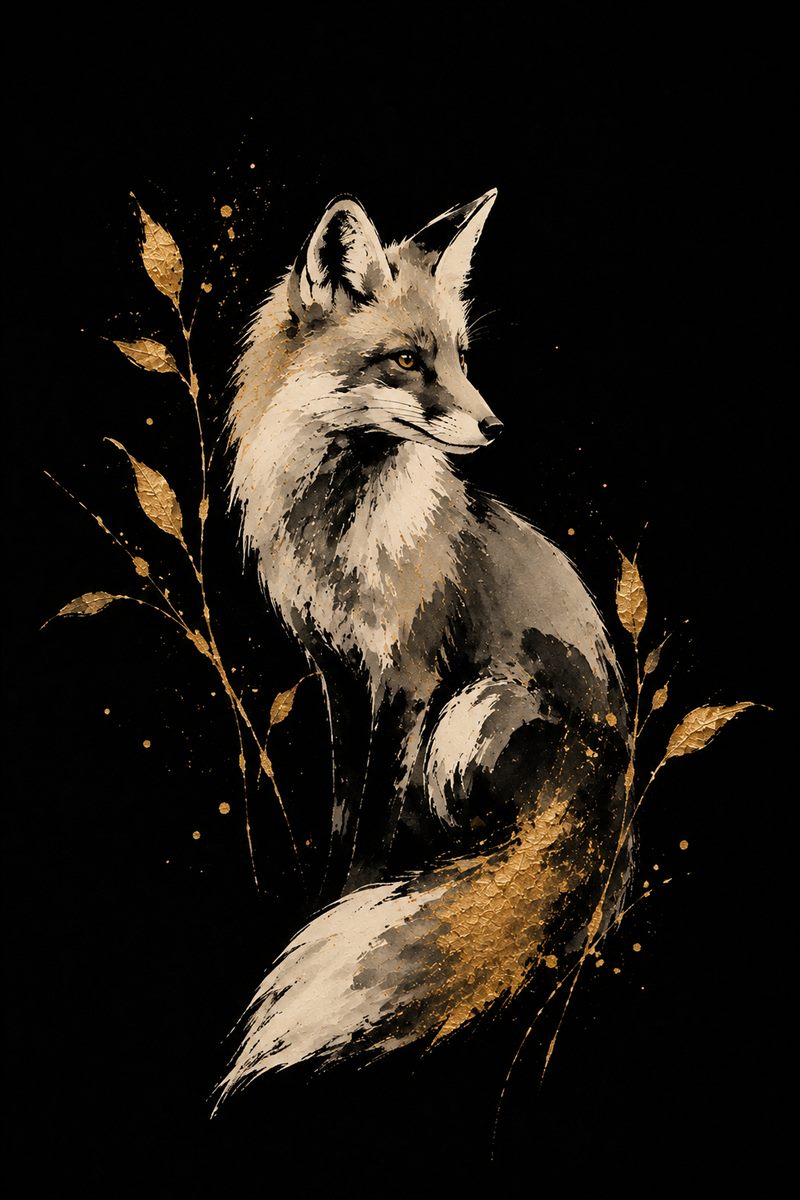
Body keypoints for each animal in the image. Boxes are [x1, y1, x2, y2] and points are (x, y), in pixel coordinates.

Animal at [216, 189, 629, 1105]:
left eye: (462, 356)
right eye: (407, 360)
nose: (495, 425)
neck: (343, 542)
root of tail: (611, 802)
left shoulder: (407, 678)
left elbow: (376, 822)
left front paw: (357, 897)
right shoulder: (339, 677)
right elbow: (344, 807)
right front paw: (323, 896)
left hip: (475, 709)